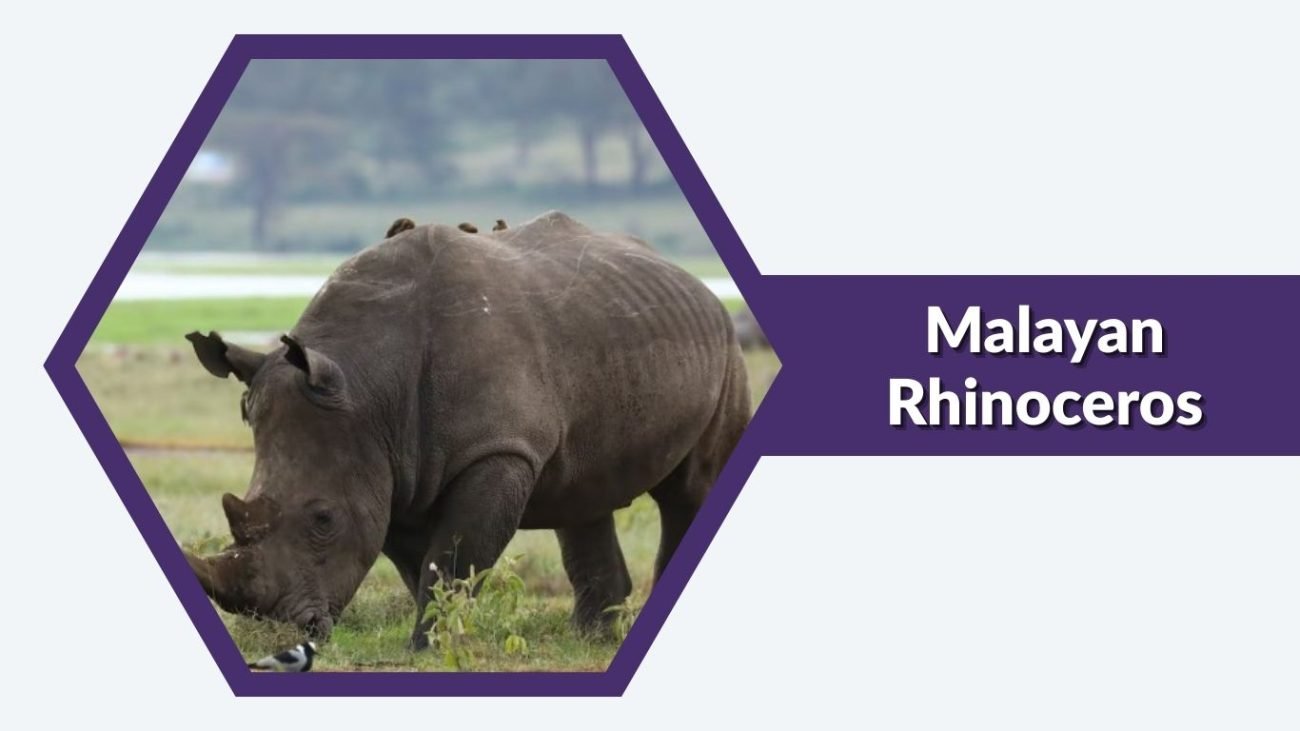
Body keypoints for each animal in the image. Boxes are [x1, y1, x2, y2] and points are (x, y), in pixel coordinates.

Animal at [182, 211, 750, 648]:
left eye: (324, 520)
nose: (281, 635)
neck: (366, 387)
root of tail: (694, 281)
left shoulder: (497, 451)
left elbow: (454, 557)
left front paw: (427, 647)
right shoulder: (394, 467)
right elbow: (421, 565)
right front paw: (435, 639)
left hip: (725, 346)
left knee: (690, 490)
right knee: (584, 497)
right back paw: (592, 640)